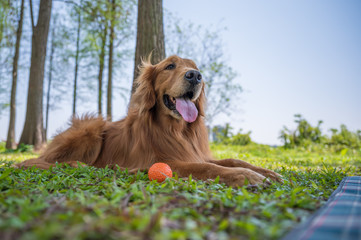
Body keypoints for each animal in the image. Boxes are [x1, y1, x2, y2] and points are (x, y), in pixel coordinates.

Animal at [16, 55, 282, 187]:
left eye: (196, 68)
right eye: (170, 66)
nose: (195, 76)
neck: (177, 130)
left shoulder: (195, 153)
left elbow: (231, 160)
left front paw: (267, 171)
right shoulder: (163, 161)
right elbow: (208, 167)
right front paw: (247, 176)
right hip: (92, 127)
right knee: (42, 161)